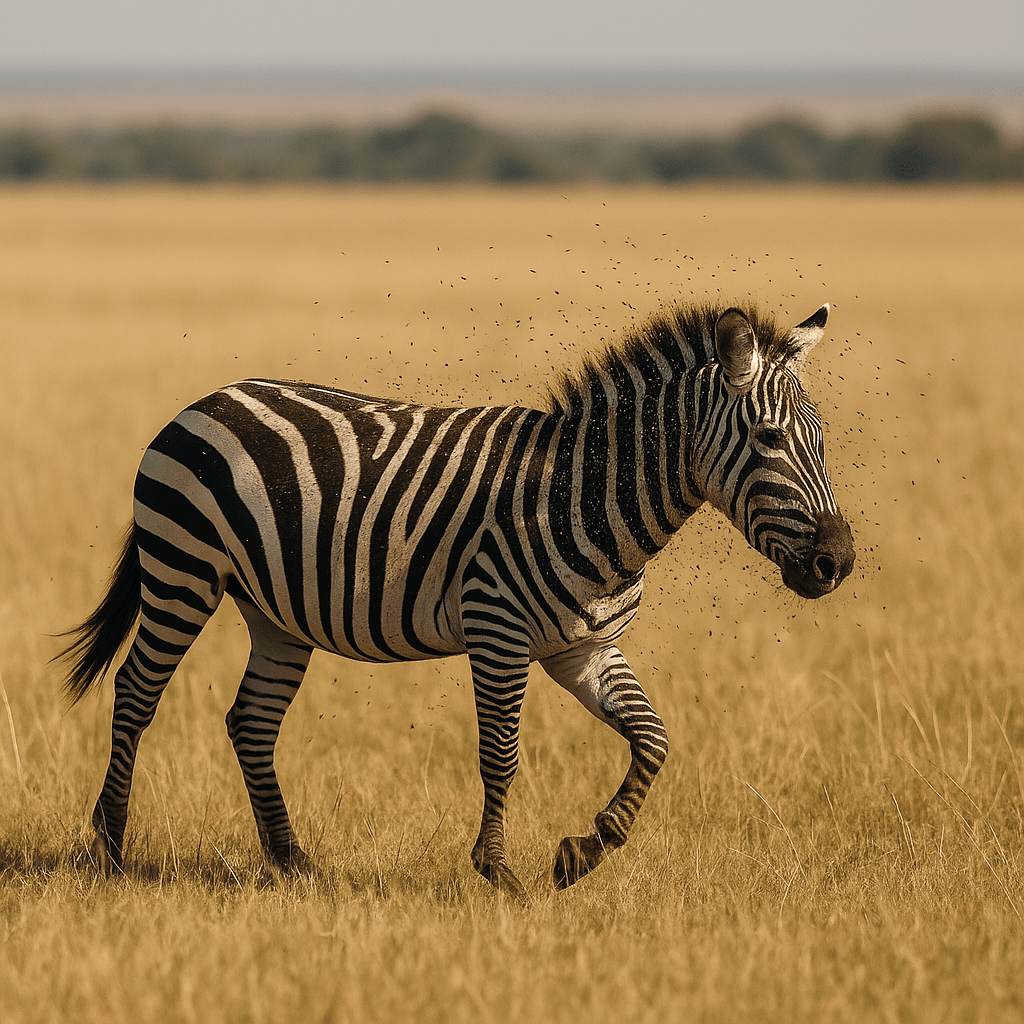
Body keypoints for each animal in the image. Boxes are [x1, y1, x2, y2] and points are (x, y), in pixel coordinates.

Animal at [58, 300, 855, 896]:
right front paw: (498, 872)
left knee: (250, 722)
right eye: (769, 438)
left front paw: (586, 849)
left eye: (820, 440)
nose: (838, 561)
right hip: (183, 571)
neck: (584, 497)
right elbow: (500, 753)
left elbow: (654, 739)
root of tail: (206, 401)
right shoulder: (497, 627)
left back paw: (292, 862)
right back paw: (110, 848)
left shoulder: (585, 648)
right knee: (136, 692)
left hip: (274, 612)